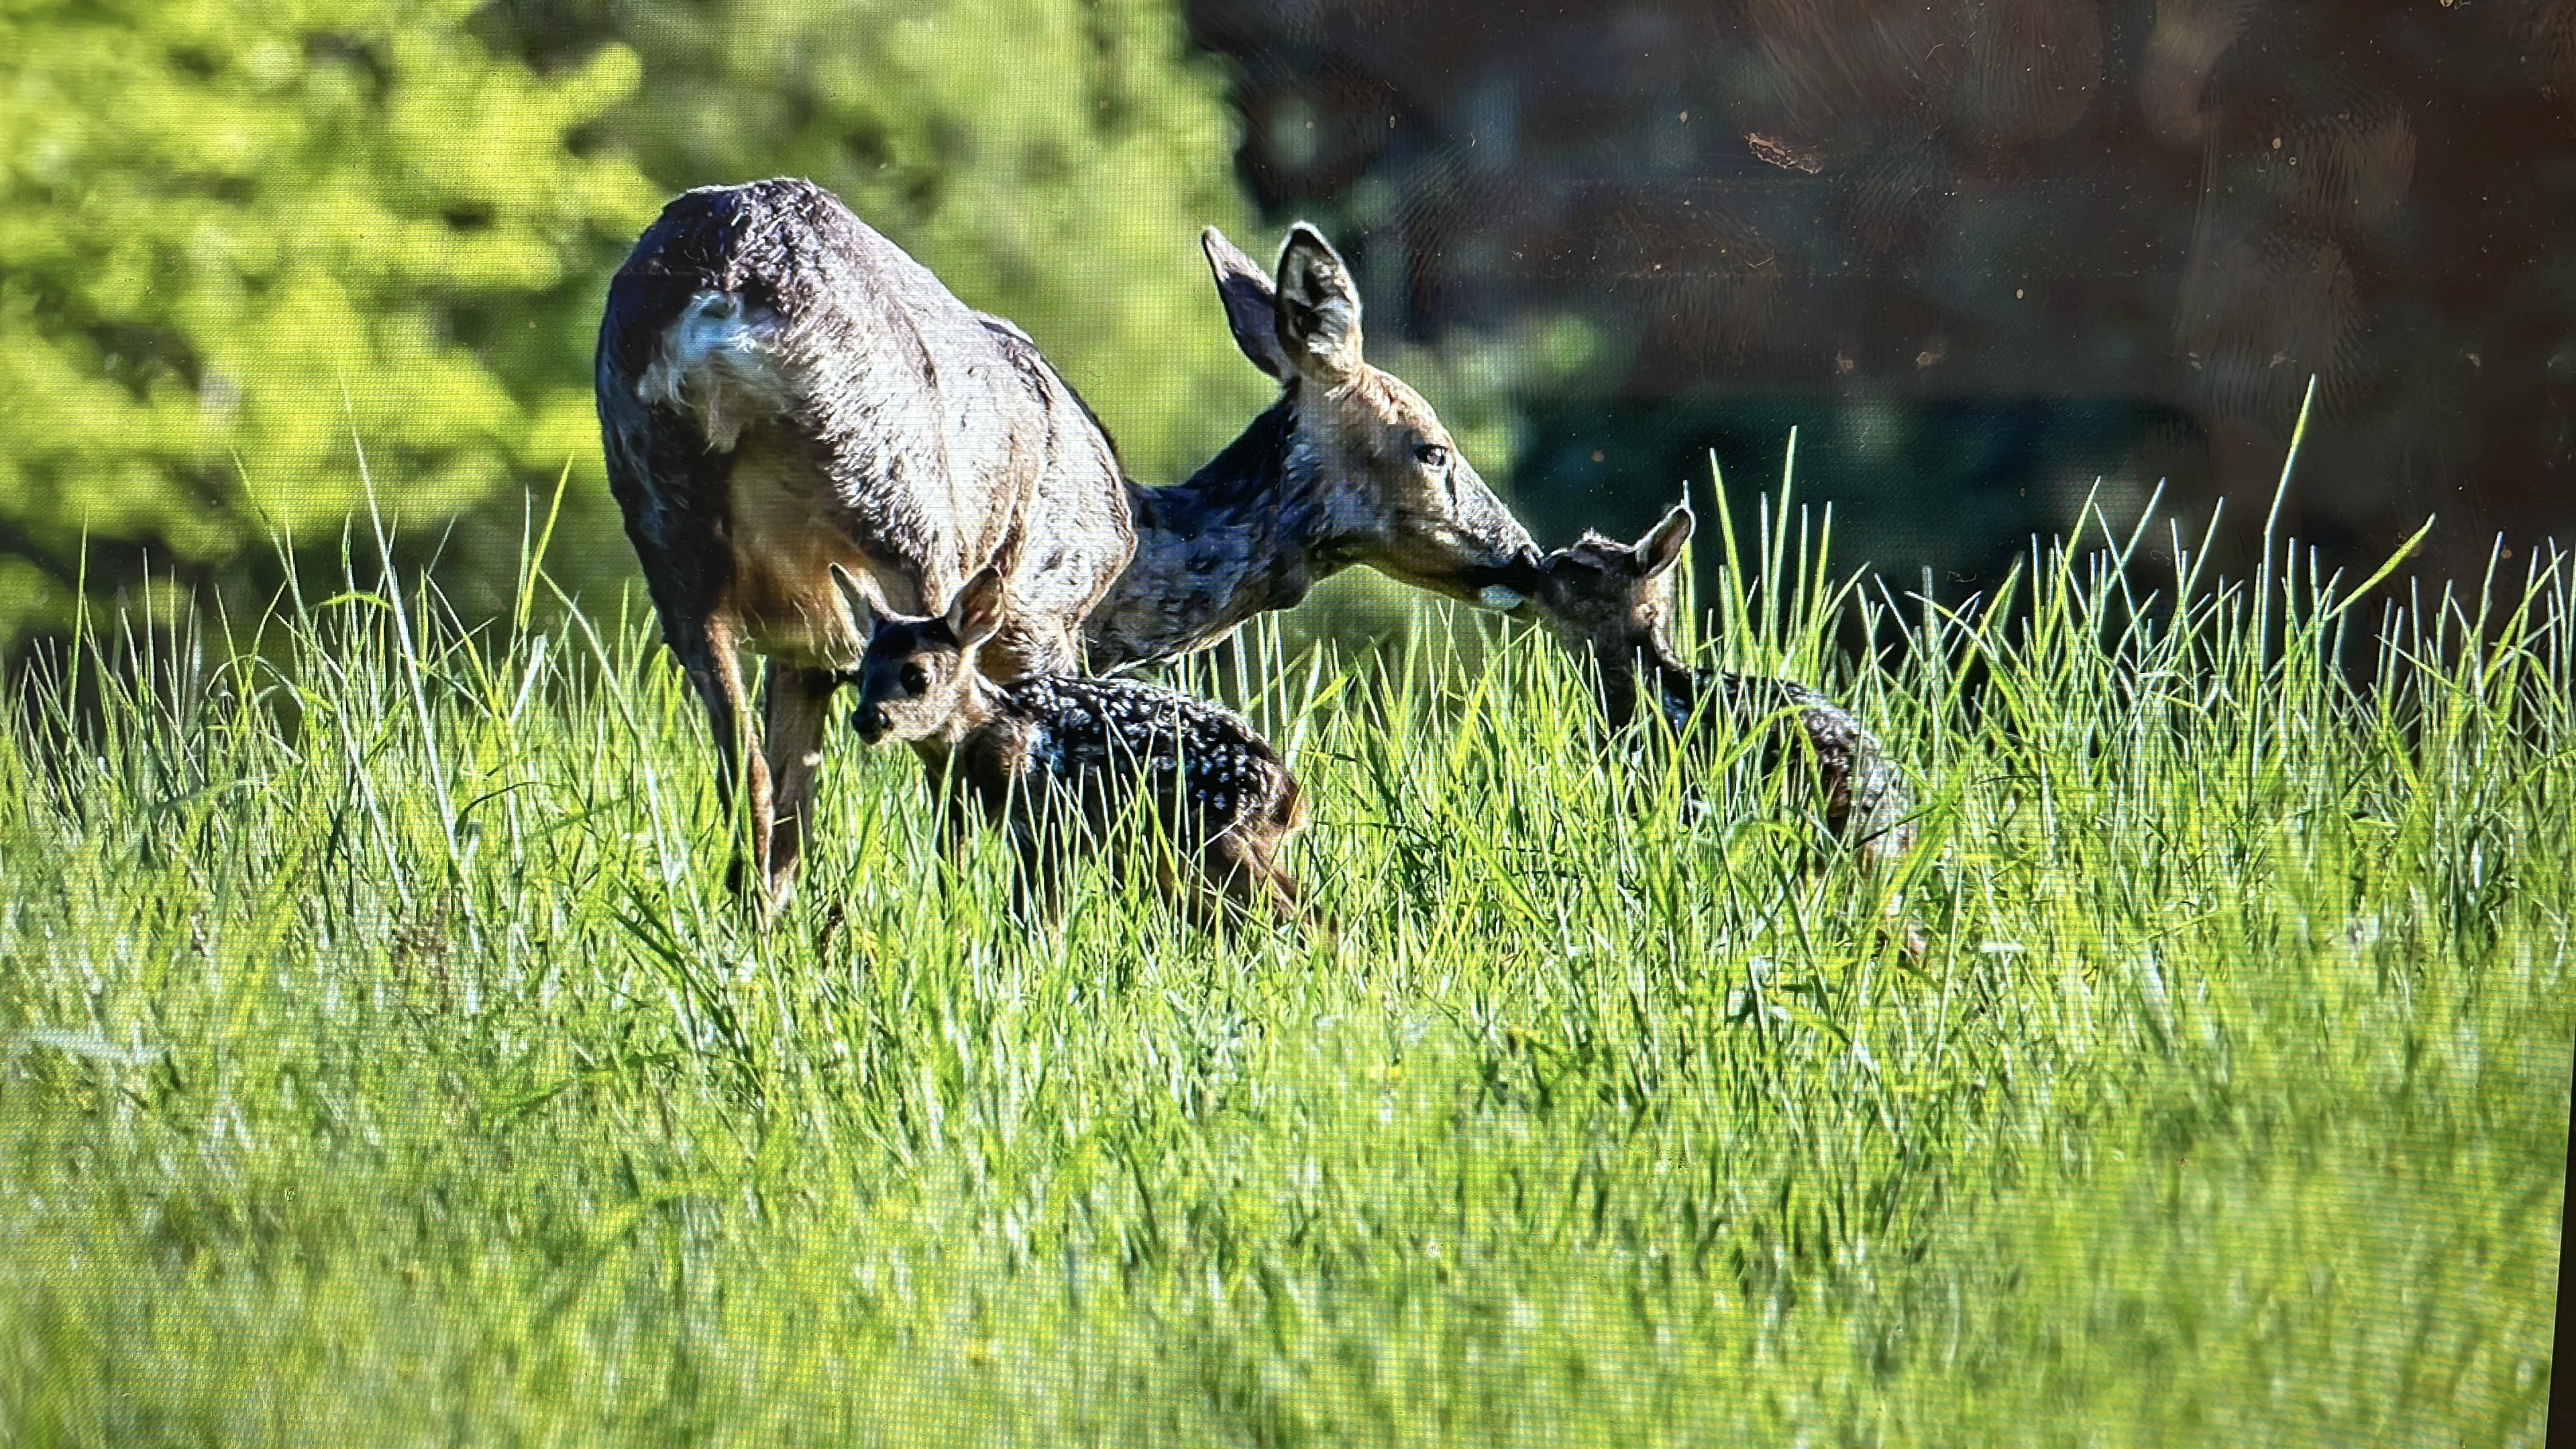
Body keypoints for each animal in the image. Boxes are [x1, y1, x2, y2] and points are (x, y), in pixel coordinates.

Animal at [837, 564, 1311, 933]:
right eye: (859, 675)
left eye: (917, 676)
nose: (868, 720)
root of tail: (1288, 795)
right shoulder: (955, 816)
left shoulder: (1049, 824)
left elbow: (1037, 918)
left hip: (1211, 837)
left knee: (1299, 914)